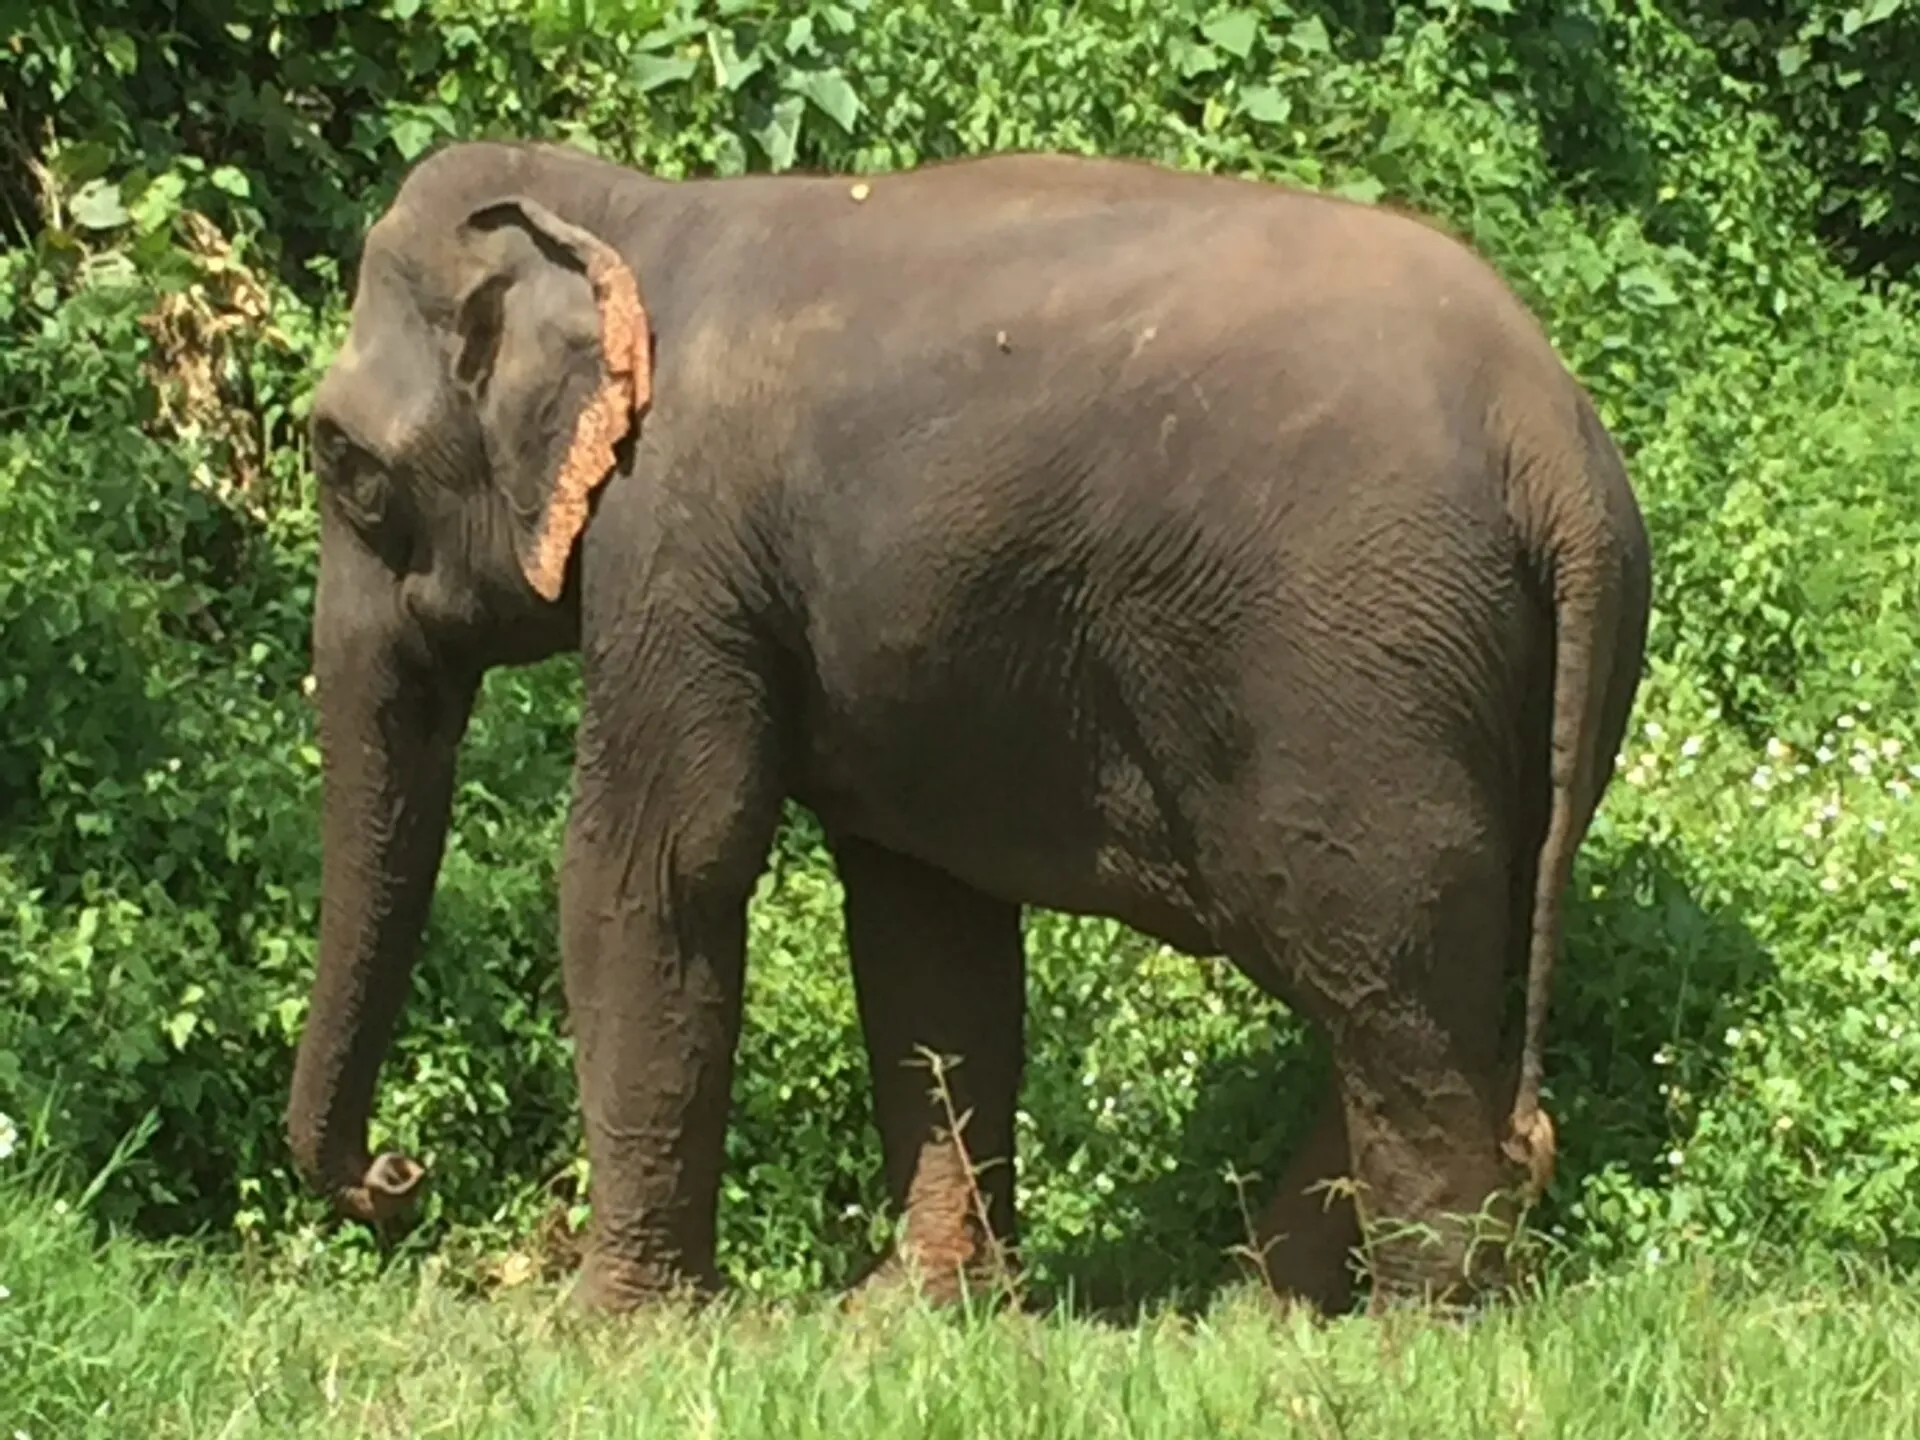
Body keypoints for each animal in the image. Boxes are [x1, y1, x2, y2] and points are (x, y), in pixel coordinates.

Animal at [283, 137, 1650, 1319]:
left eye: (340, 460)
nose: (393, 1179)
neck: (625, 211)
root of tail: (1552, 449)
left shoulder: (676, 539)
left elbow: (657, 868)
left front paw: (612, 1333)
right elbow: (926, 936)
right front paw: (909, 1317)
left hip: (1352, 677)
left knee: (1385, 973)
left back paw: (1417, 1329)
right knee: (1429, 973)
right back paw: (1256, 1312)